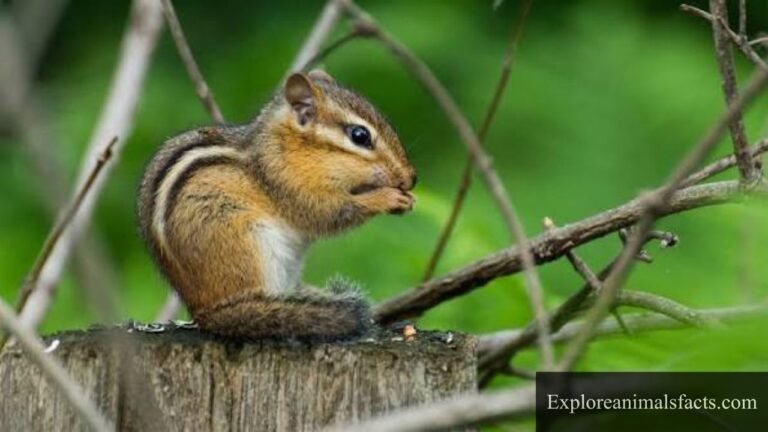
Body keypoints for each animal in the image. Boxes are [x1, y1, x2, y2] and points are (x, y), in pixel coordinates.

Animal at [137, 70, 416, 341]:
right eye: (360, 135)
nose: (411, 178)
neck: (289, 145)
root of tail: (204, 311)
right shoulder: (288, 183)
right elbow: (328, 214)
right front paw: (387, 198)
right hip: (246, 239)